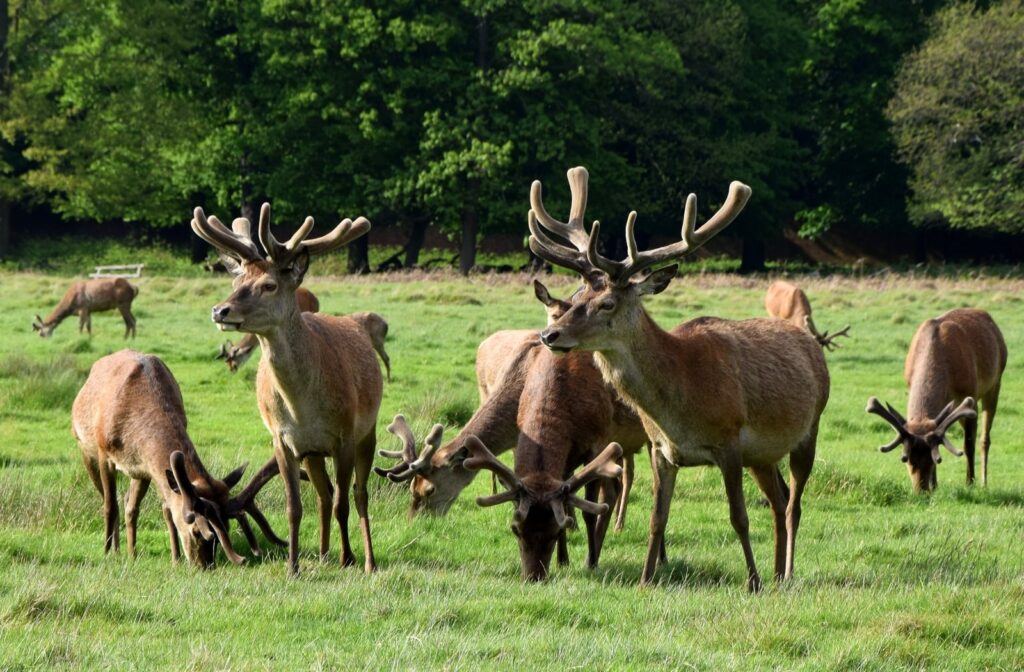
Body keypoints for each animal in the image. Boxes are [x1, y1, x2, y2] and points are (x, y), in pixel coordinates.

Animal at [72, 349, 286, 567]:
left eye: (226, 527)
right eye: (197, 531)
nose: (205, 565)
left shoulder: (147, 467)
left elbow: (165, 509)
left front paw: (175, 559)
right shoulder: (104, 453)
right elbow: (109, 506)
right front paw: (106, 553)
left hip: (137, 473)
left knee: (129, 504)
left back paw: (132, 553)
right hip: (84, 449)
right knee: (110, 500)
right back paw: (115, 550)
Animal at [192, 202, 383, 576]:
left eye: (268, 285)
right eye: (236, 280)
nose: (220, 310)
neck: (302, 406)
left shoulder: (344, 436)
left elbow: (344, 503)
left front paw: (349, 559)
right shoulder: (283, 439)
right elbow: (295, 506)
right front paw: (292, 566)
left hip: (367, 431)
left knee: (358, 493)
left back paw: (366, 559)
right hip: (313, 453)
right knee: (323, 495)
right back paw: (322, 553)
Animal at [528, 166, 830, 591]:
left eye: (607, 303)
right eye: (575, 298)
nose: (550, 335)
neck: (679, 404)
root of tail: (811, 345)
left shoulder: (729, 441)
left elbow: (739, 517)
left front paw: (752, 582)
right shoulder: (661, 449)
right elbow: (657, 519)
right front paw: (645, 579)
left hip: (809, 429)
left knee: (794, 503)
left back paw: (783, 574)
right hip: (763, 454)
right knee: (779, 497)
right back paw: (776, 572)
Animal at [865, 308, 1005, 492]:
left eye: (933, 461)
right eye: (906, 459)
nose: (921, 490)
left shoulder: (971, 395)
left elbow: (968, 444)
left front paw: (969, 483)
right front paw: (935, 485)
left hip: (995, 382)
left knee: (984, 438)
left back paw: (983, 481)